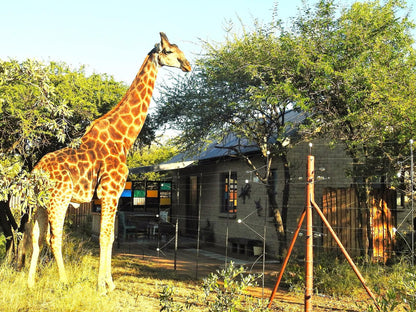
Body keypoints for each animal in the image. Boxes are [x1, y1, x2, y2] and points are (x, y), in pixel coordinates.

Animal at [24, 33, 190, 292]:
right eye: (170, 51)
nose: (188, 65)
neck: (123, 138)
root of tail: (36, 172)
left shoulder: (113, 195)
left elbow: (111, 236)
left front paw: (109, 283)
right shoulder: (110, 192)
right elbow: (104, 236)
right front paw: (102, 286)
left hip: (40, 202)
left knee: (36, 236)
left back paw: (31, 282)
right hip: (59, 199)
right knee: (55, 237)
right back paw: (64, 281)